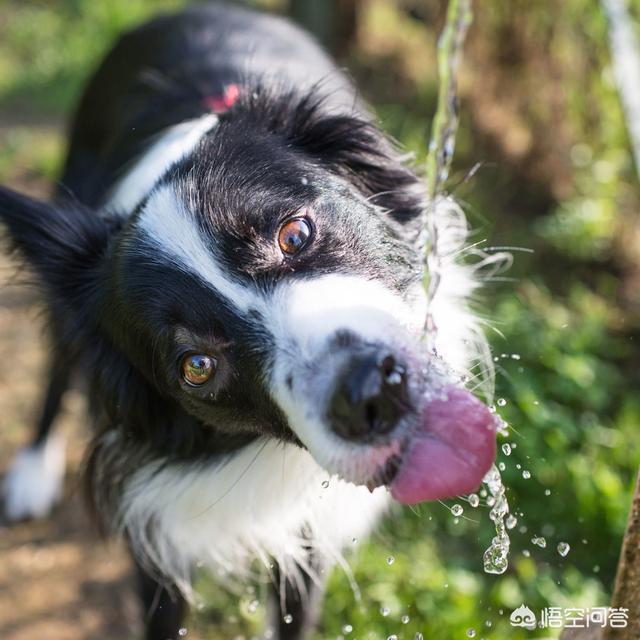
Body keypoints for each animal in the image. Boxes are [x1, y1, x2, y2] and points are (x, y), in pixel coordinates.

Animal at [0, 2, 500, 636]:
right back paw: (32, 472)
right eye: (196, 367)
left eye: (296, 233)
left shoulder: (310, 538)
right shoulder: (157, 531)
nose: (371, 393)